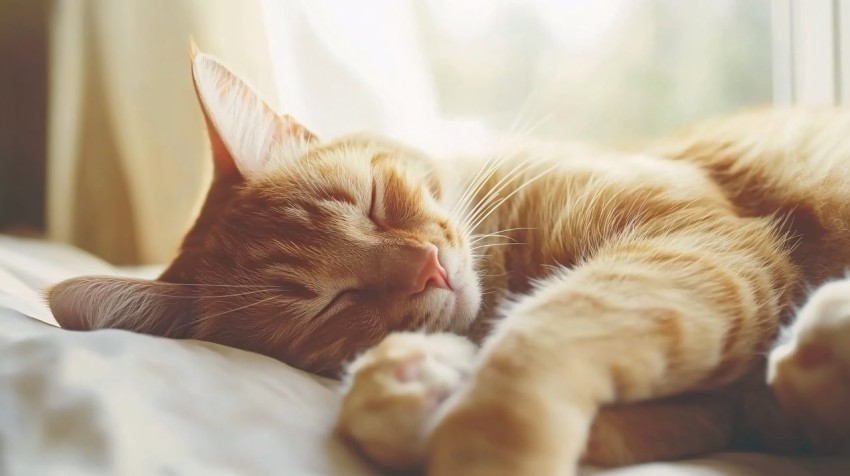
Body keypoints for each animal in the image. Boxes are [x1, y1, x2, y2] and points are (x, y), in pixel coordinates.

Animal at [46, 48, 848, 472]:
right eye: (332, 303)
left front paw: (483, 434)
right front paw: (414, 385)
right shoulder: (723, 401)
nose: (428, 268)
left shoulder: (705, 247)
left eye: (372, 201)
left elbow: (540, 342)